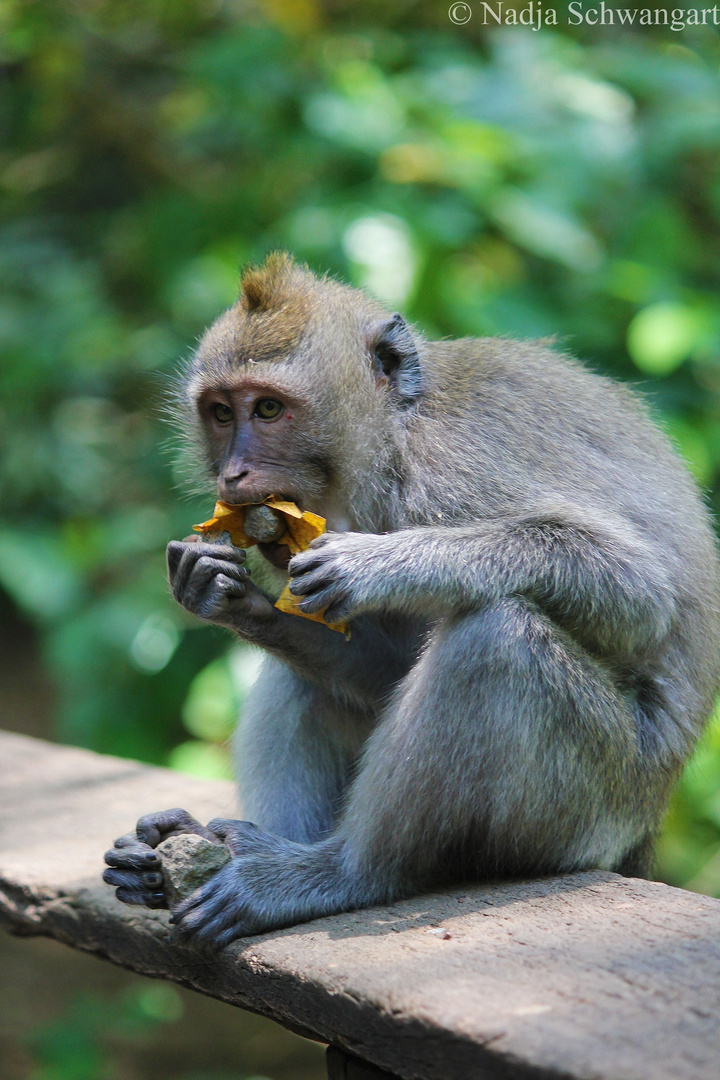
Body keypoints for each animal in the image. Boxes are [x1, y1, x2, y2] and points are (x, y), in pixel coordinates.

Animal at [102, 250, 720, 946]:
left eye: (267, 409)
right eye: (220, 413)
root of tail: (648, 823)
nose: (233, 474)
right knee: (305, 679)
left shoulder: (458, 471)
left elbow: (640, 589)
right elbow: (382, 671)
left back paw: (340, 873)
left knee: (498, 641)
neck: (396, 439)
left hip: (596, 802)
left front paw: (377, 565)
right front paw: (226, 594)